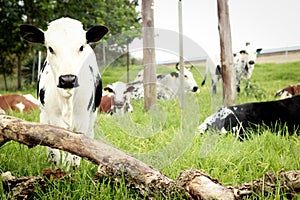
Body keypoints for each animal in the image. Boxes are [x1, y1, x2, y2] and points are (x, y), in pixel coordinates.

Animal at [20, 17, 108, 167]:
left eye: (81, 47)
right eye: (50, 48)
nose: (68, 79)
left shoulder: (82, 118)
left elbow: (76, 152)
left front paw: (72, 168)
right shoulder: (46, 116)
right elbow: (53, 152)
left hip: (92, 114)